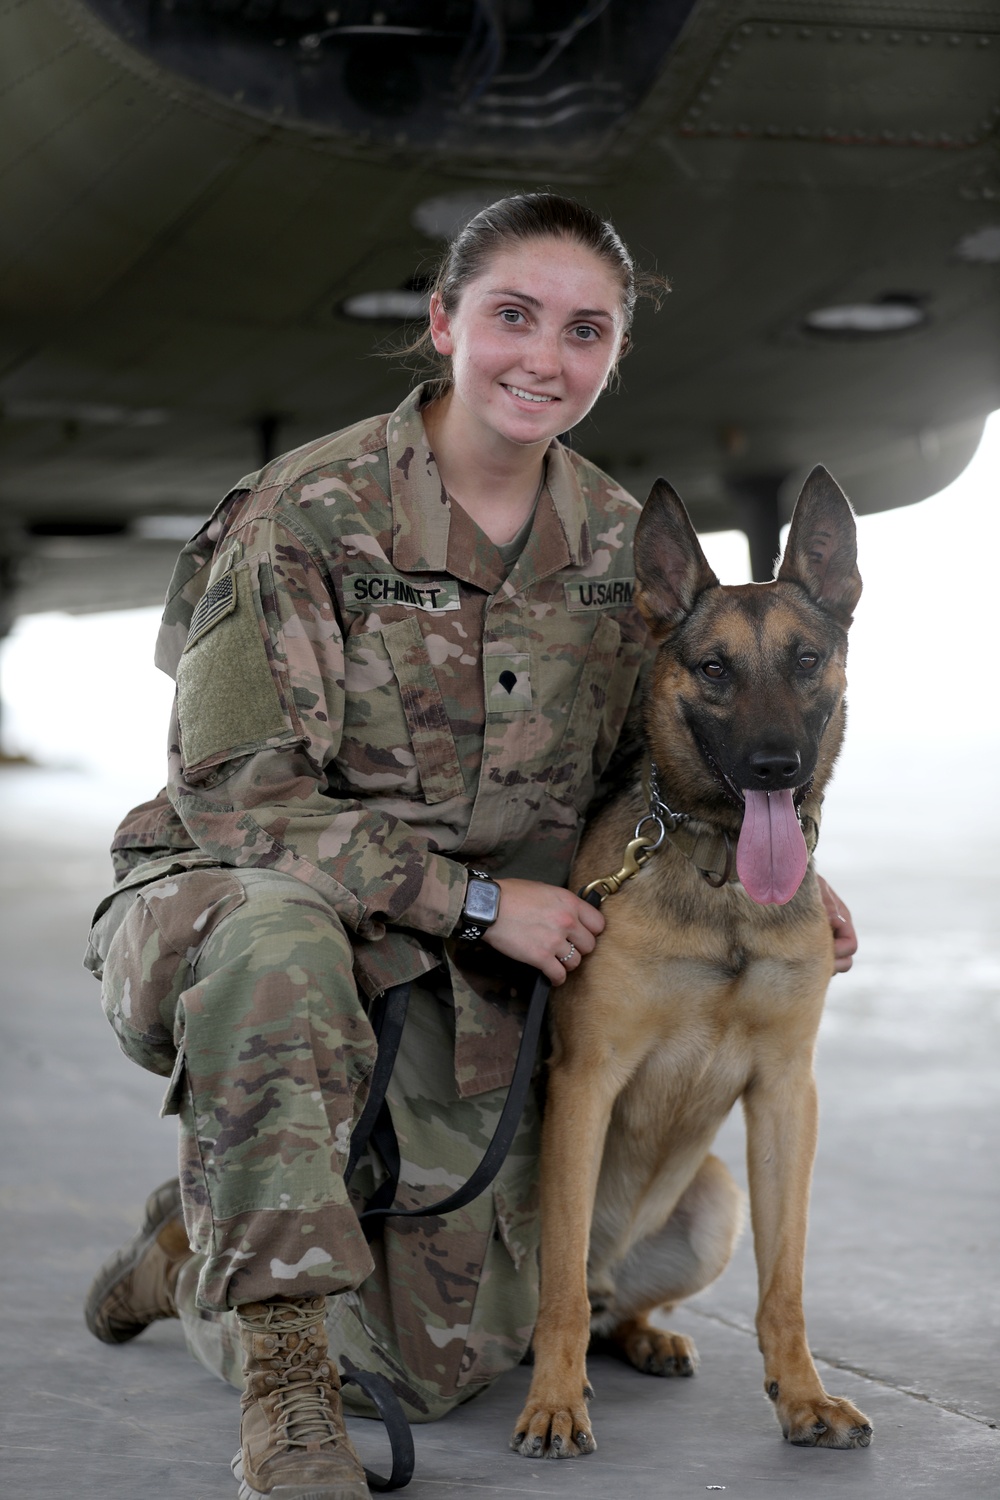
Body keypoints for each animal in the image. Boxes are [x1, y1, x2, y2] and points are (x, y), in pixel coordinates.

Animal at [512, 465, 869, 1452]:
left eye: (805, 660)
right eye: (714, 669)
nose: (776, 766)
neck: (722, 886)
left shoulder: (786, 1092)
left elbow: (784, 1285)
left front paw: (803, 1395)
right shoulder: (586, 1082)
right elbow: (556, 1285)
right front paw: (553, 1405)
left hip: (714, 1203)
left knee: (608, 1306)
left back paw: (646, 1337)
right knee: (573, 1293)